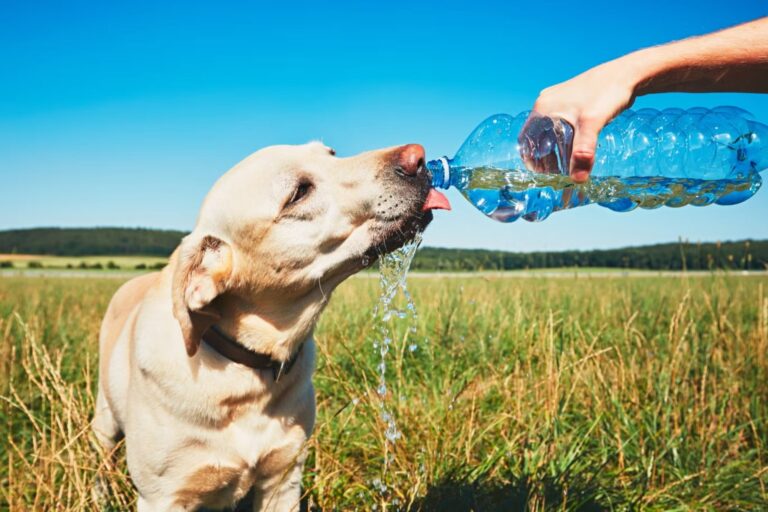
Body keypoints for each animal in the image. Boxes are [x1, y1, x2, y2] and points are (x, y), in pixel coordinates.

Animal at [91, 141, 450, 512]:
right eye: (299, 192)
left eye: (331, 154)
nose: (418, 156)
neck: (245, 373)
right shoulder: (163, 496)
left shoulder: (284, 478)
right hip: (104, 419)